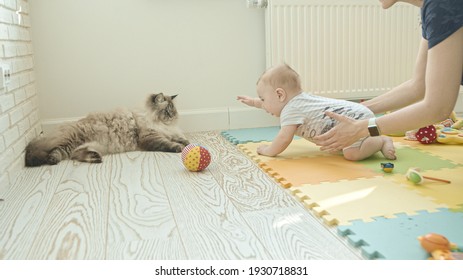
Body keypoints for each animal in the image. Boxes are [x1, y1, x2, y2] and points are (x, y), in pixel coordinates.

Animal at [24, 92, 188, 166]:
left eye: (173, 110)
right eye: (167, 110)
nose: (173, 116)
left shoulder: (169, 132)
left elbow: (180, 138)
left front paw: (186, 142)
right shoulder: (151, 137)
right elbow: (168, 143)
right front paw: (180, 148)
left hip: (90, 145)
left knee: (75, 154)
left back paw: (95, 158)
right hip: (71, 141)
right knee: (59, 151)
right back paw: (53, 160)